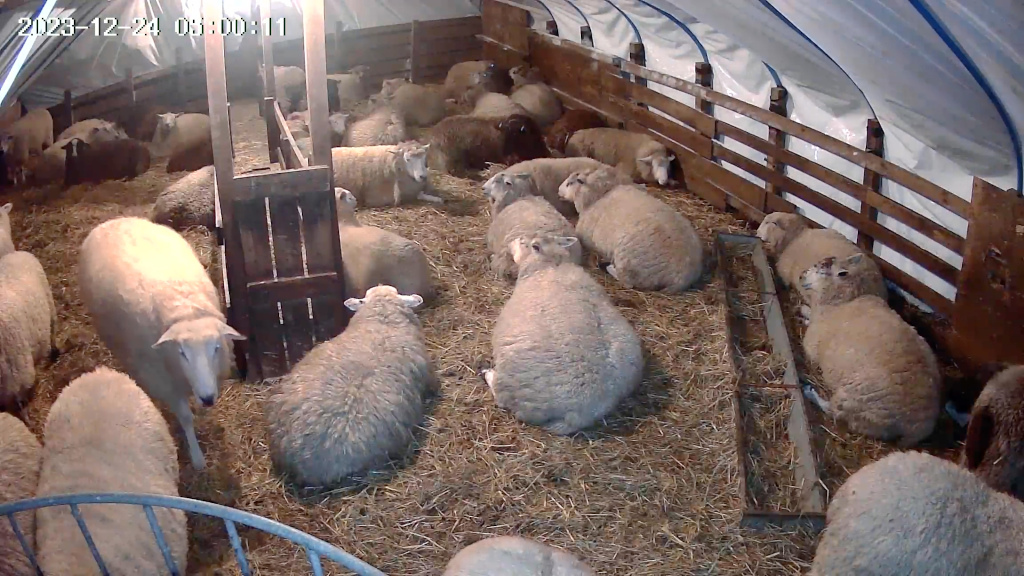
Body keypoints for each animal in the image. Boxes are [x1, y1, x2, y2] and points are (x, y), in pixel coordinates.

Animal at [78, 217, 245, 470]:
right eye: (182, 352)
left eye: (216, 347)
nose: (207, 399)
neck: (186, 312)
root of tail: (112, 221)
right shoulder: (163, 380)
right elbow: (184, 417)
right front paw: (197, 457)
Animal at [483, 234, 643, 434]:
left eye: (526, 242)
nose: (514, 240)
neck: (551, 265)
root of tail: (578, 414)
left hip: (515, 384)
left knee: (501, 395)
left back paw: (488, 374)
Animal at [559, 167, 704, 292]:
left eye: (569, 183)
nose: (558, 191)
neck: (602, 193)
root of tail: (682, 277)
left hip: (632, 264)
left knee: (628, 282)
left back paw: (606, 266)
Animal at [798, 254, 941, 446]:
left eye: (821, 271)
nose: (802, 275)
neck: (839, 303)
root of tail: (918, 426)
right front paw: (805, 311)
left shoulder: (812, 345)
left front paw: (804, 314)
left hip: (857, 401)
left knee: (833, 411)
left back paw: (810, 392)